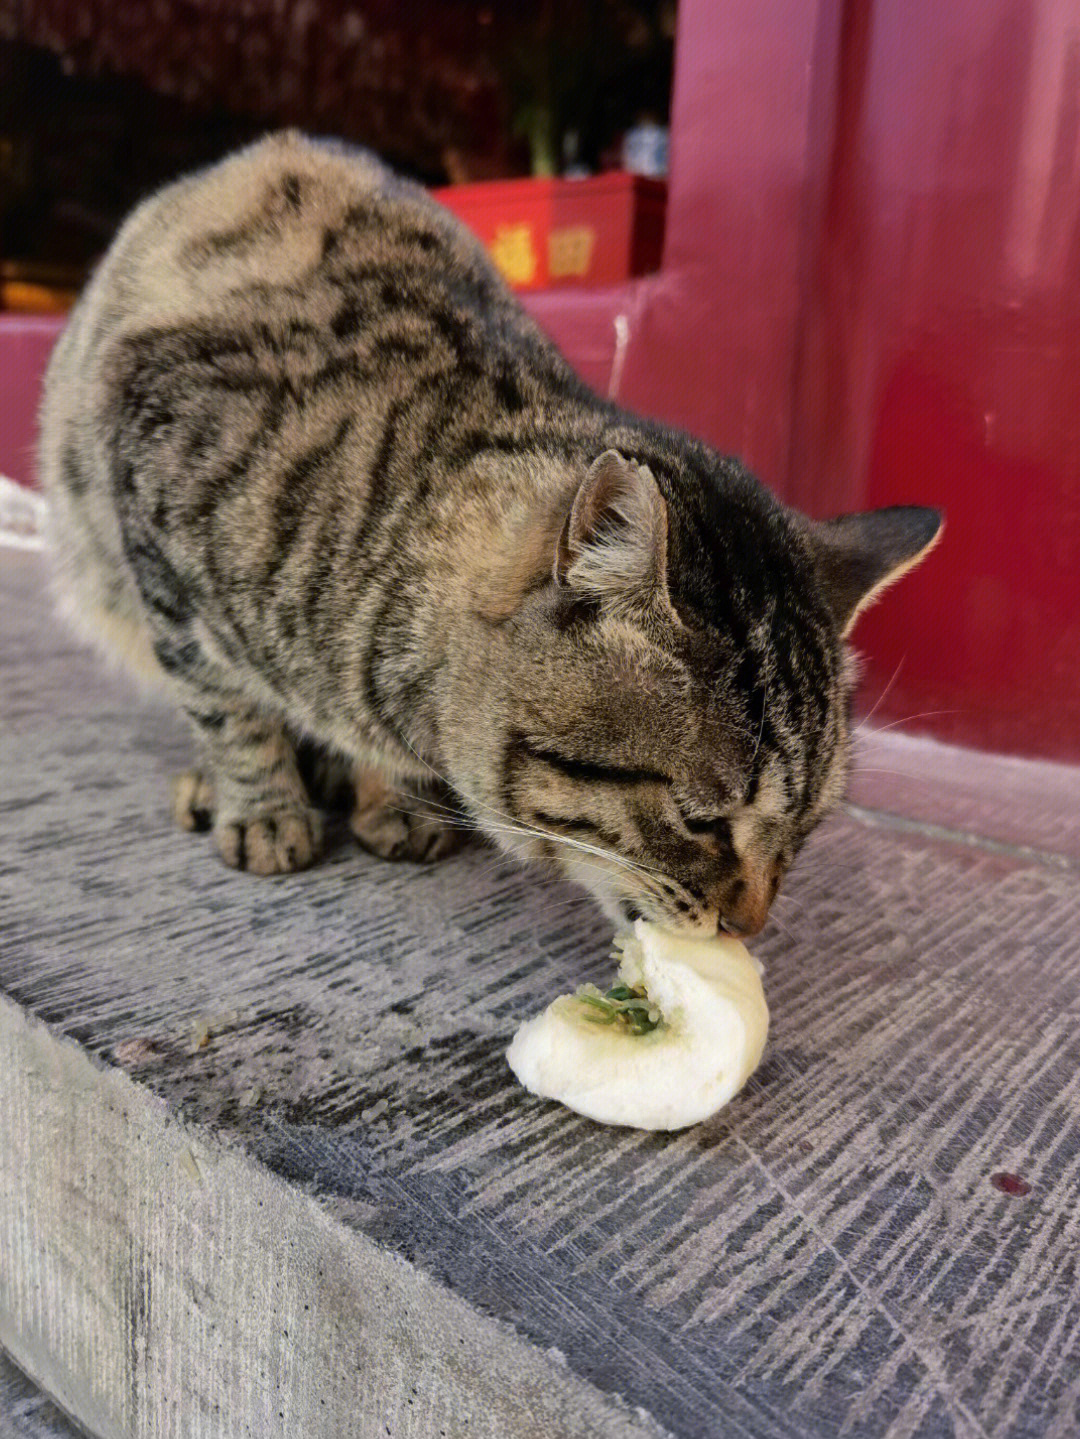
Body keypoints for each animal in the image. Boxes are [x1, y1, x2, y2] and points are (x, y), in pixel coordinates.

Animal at [40, 132, 937, 943]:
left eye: (809, 829)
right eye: (701, 820)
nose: (750, 927)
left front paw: (391, 796)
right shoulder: (149, 489)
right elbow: (226, 706)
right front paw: (264, 804)